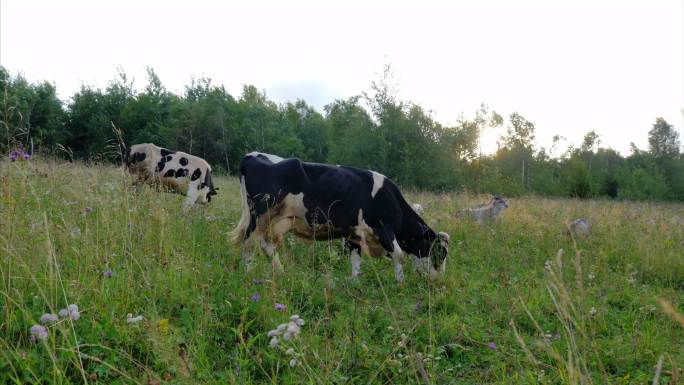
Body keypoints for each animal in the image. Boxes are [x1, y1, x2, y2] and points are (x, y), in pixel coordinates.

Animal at [232, 152, 452, 280]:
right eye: (440, 254)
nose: (439, 281)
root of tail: (252, 155)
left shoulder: (354, 234)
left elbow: (355, 260)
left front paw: (355, 283)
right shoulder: (383, 228)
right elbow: (398, 255)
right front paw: (400, 283)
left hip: (273, 221)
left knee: (266, 246)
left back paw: (281, 272)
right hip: (259, 216)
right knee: (248, 244)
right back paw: (247, 274)